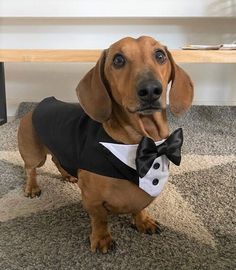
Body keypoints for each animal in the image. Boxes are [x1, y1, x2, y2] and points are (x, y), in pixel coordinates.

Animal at [17, 35, 193, 253]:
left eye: (160, 55)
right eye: (118, 60)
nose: (151, 90)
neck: (141, 143)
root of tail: (41, 103)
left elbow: (140, 207)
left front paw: (143, 221)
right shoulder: (92, 199)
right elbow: (100, 219)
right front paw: (102, 239)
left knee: (57, 159)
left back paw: (68, 175)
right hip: (35, 155)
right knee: (31, 169)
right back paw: (32, 188)